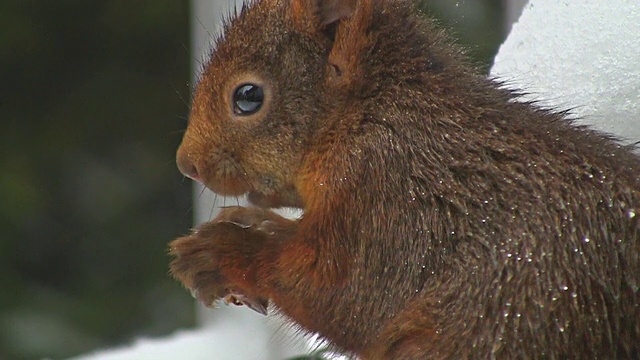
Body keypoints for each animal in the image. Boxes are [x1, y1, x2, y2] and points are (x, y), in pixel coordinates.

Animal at [170, 0, 640, 358]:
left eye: (248, 97)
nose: (186, 164)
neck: (370, 113)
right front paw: (253, 224)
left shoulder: (390, 195)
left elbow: (345, 293)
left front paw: (220, 251)